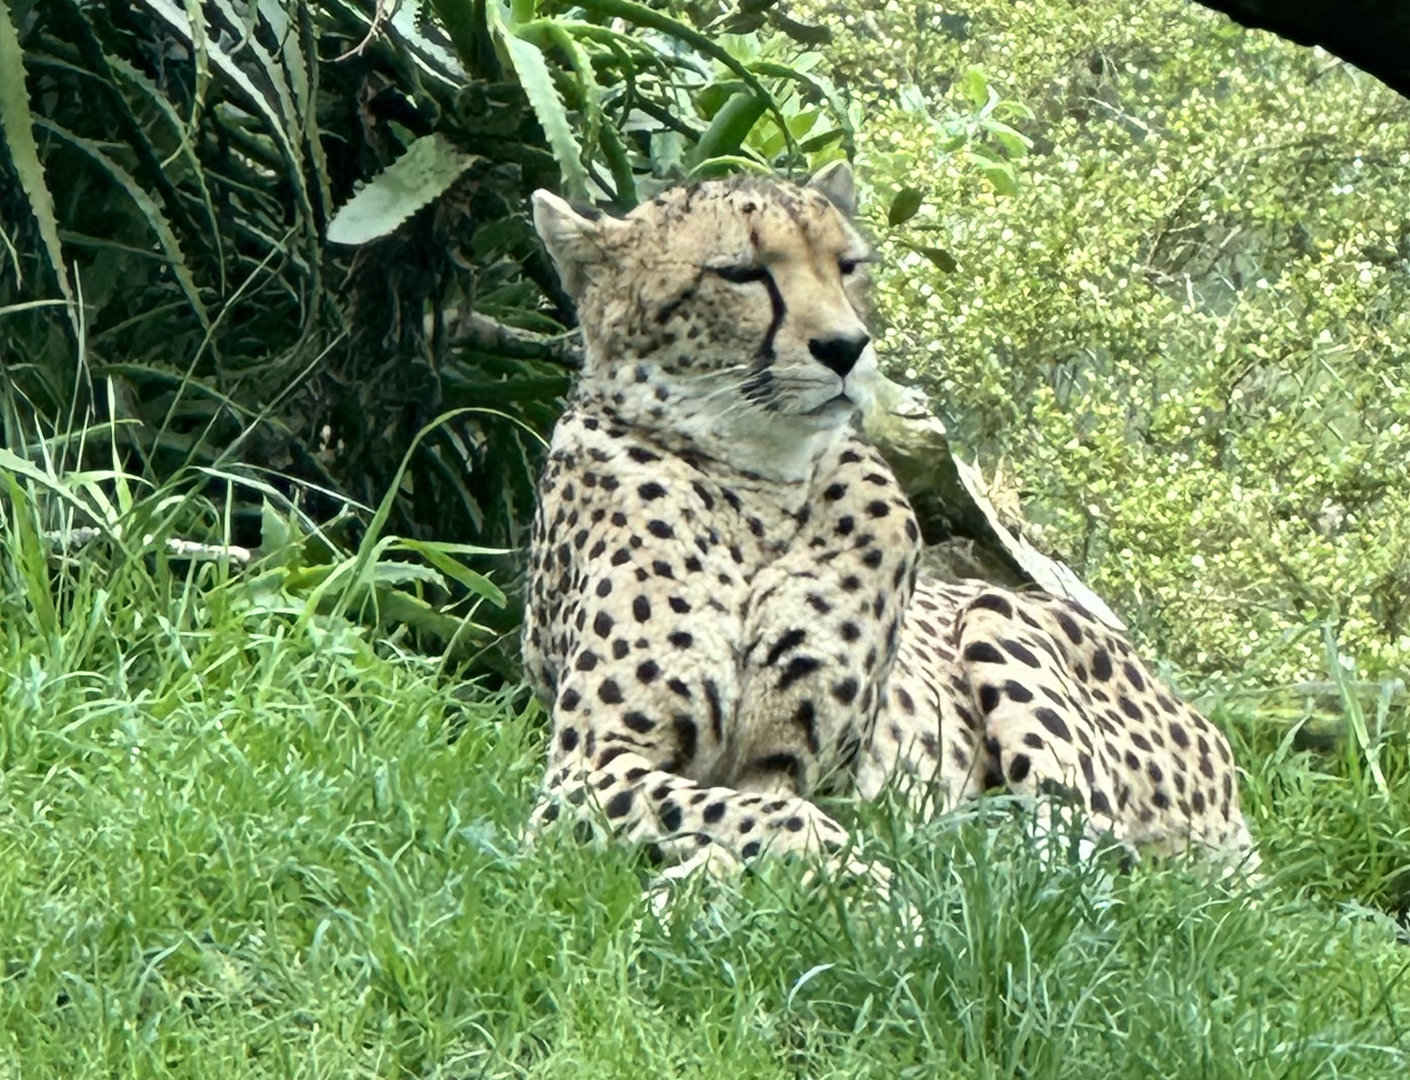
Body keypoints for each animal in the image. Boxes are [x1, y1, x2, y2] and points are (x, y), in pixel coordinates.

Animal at [521, 162, 1257, 890]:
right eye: (742, 272)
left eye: (847, 265)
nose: (846, 348)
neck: (762, 489)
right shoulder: (582, 773)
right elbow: (747, 815)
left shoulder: (793, 773)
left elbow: (766, 811)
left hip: (999, 612)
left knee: (1082, 862)